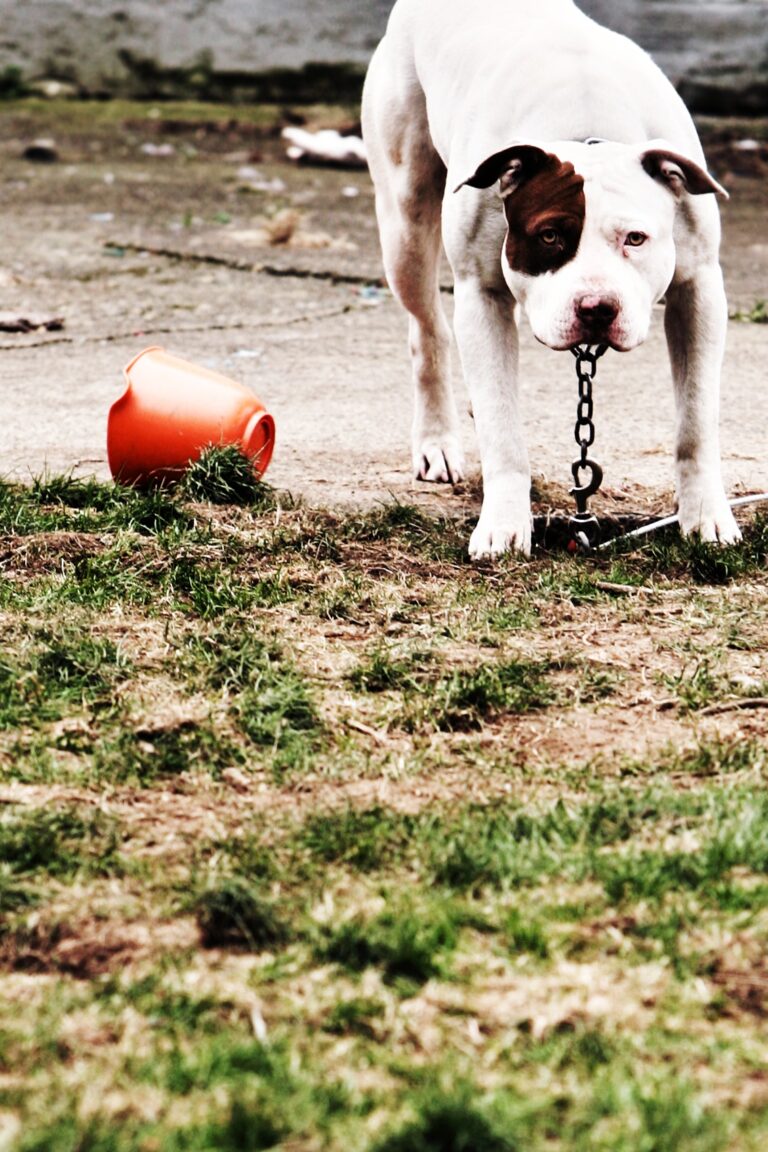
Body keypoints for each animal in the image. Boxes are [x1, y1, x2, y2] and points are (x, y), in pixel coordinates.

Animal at [363, 0, 741, 557]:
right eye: (549, 236)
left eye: (635, 239)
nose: (597, 307)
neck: (586, 132)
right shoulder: (481, 294)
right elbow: (502, 430)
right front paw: (502, 524)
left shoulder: (699, 291)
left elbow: (696, 422)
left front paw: (707, 517)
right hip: (405, 218)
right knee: (428, 331)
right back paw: (437, 441)